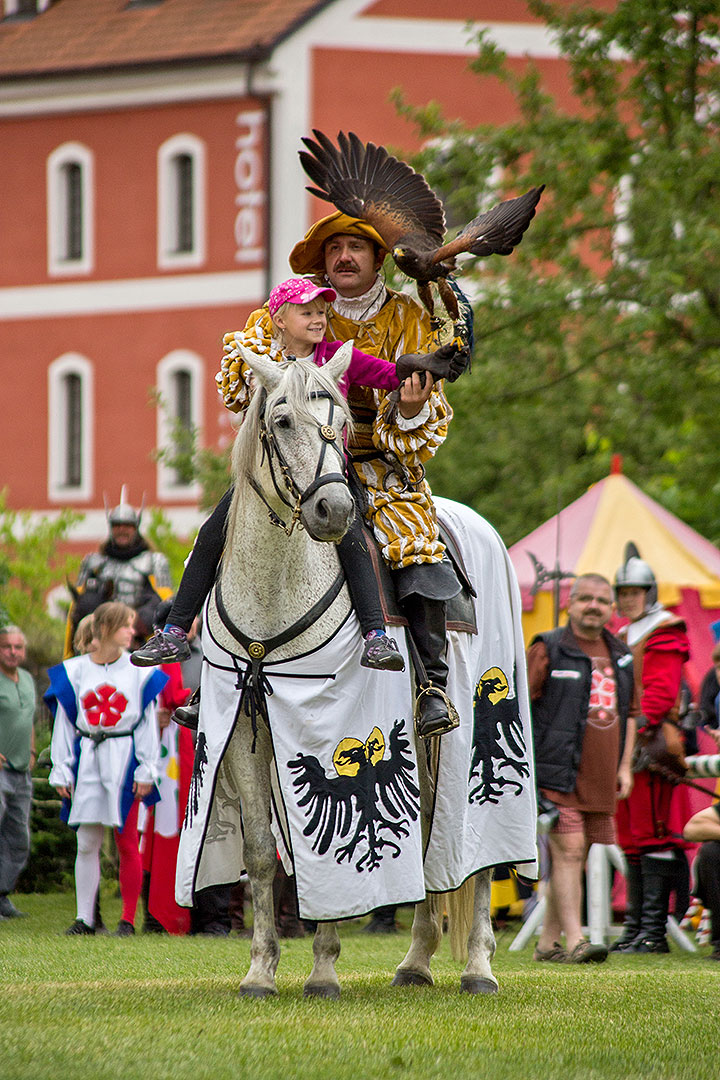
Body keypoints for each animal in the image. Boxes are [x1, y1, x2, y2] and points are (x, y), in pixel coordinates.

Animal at [172, 345, 535, 993]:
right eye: (282, 420)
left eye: (339, 423)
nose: (334, 509)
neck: (274, 593)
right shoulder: (242, 731)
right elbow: (263, 854)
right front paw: (261, 969)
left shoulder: (330, 722)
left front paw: (322, 967)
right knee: (429, 841)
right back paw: (416, 960)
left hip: (474, 720)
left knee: (474, 858)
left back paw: (478, 965)